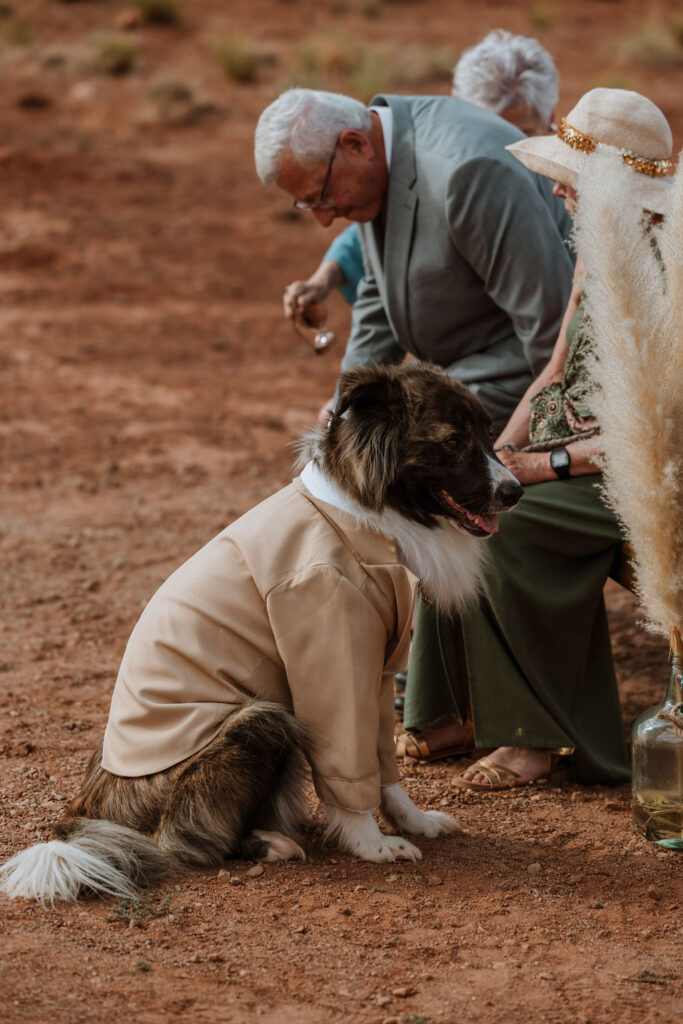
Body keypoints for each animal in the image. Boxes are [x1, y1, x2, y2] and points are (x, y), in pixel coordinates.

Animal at [1, 362, 524, 905]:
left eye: (489, 434)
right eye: (453, 440)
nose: (516, 491)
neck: (359, 513)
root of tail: (89, 810)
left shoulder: (373, 675)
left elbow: (382, 770)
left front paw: (415, 822)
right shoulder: (335, 662)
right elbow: (351, 772)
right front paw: (373, 846)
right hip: (261, 719)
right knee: (179, 839)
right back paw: (269, 844)